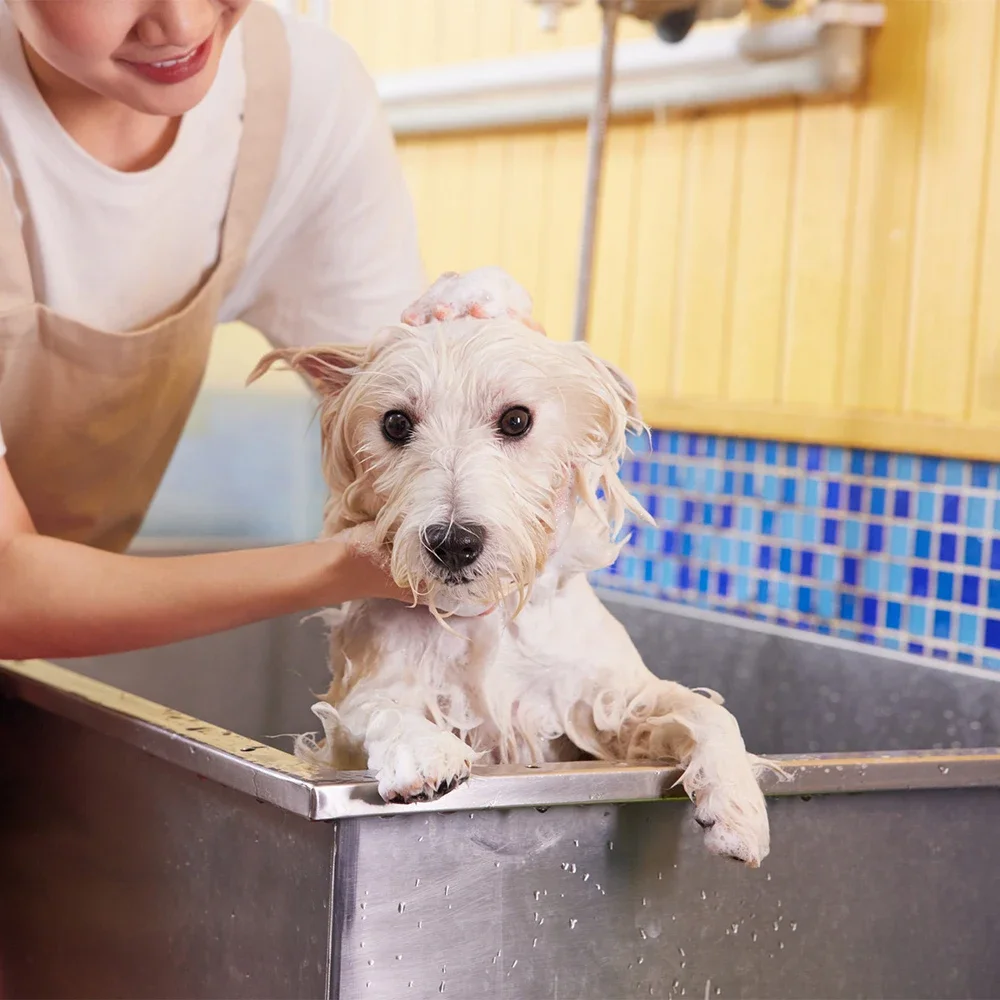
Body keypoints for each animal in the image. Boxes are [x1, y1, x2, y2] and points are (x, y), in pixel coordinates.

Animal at [250, 268, 780, 868]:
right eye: (395, 423)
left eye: (517, 419)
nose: (454, 543)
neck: (486, 616)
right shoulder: (357, 705)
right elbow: (379, 708)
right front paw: (424, 751)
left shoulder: (611, 699)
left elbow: (706, 711)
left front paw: (737, 807)